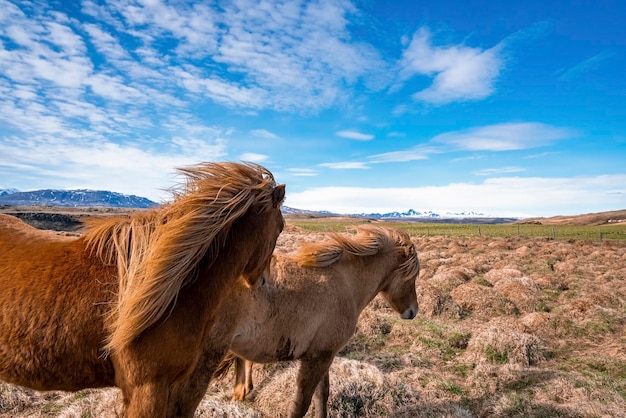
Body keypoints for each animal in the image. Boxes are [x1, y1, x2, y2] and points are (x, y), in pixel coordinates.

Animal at [211, 227, 420, 416]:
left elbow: (322, 395)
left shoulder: (323, 354)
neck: (346, 283)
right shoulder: (317, 359)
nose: (413, 311)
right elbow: (301, 406)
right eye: (412, 277)